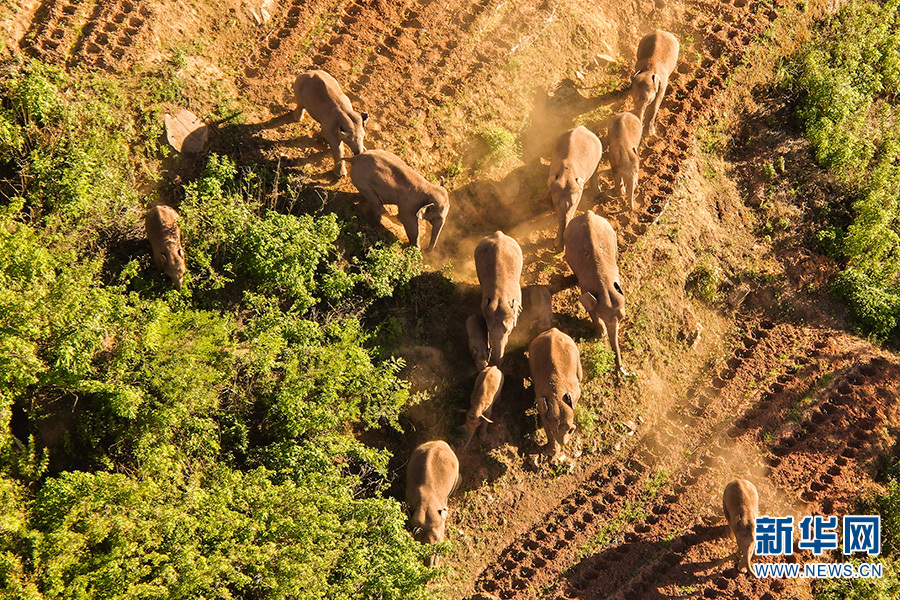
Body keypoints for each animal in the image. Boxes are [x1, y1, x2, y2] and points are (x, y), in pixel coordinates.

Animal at [564, 209, 624, 372]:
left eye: (622, 318)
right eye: (603, 317)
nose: (623, 371)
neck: (605, 286)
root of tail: (588, 213)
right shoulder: (586, 288)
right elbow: (589, 308)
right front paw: (600, 335)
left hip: (613, 236)